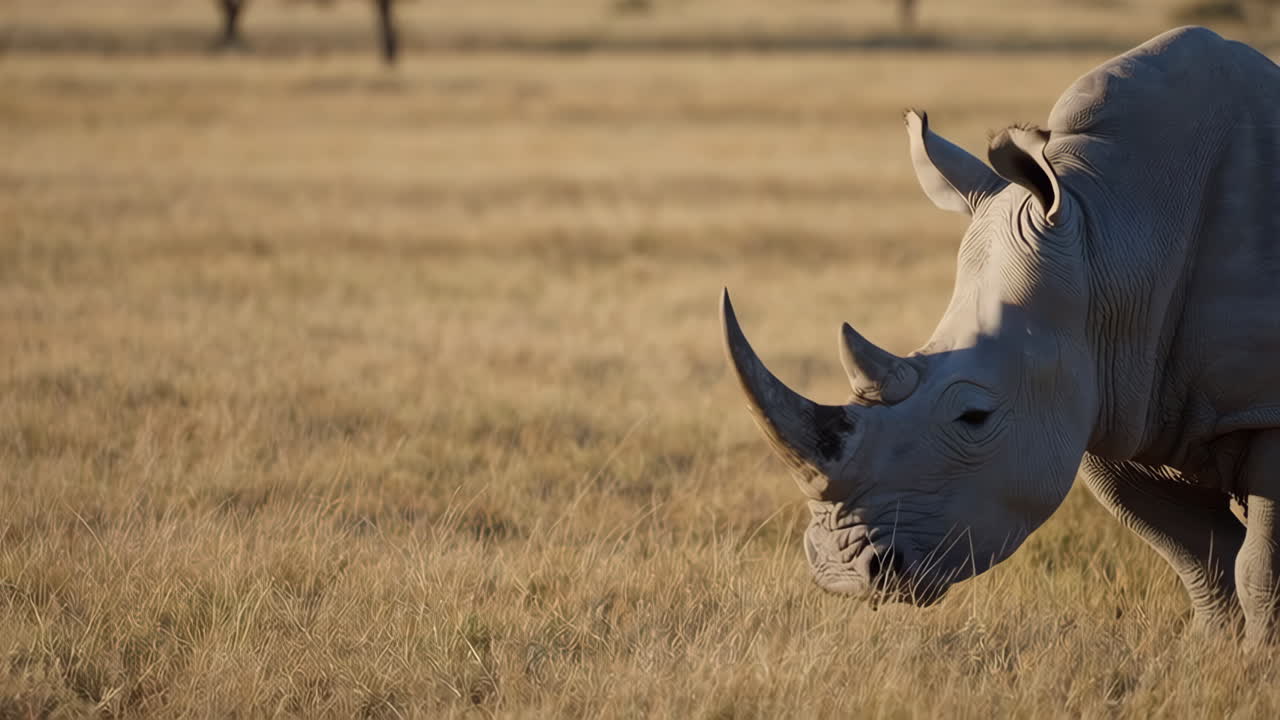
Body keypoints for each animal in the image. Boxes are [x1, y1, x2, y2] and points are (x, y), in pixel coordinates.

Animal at [721, 26, 1280, 644]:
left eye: (974, 416)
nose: (841, 577)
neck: (1112, 238)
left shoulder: (1259, 404)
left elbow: (1258, 563)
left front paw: (1255, 658)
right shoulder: (1117, 394)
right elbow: (1194, 550)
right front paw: (1213, 650)